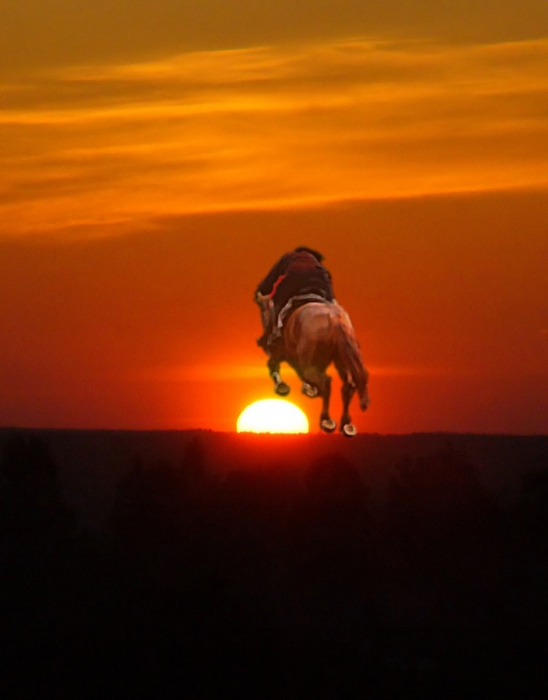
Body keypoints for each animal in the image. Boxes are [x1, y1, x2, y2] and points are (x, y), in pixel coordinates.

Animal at [260, 298, 370, 434]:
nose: (262, 341)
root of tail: (334, 318)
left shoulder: (282, 353)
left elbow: (272, 365)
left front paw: (282, 386)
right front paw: (310, 389)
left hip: (309, 366)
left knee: (326, 382)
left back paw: (326, 419)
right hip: (344, 359)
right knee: (349, 385)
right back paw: (346, 423)